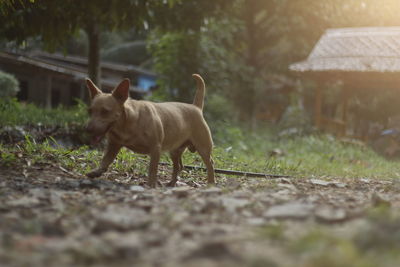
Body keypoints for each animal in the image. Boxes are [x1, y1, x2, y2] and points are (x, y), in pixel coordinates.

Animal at [85, 74, 216, 187]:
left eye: (105, 111)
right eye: (90, 111)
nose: (88, 129)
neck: (128, 123)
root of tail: (196, 107)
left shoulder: (155, 149)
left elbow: (152, 169)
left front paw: (151, 184)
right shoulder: (114, 145)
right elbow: (106, 160)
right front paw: (97, 171)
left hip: (203, 149)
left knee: (210, 165)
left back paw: (210, 183)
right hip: (174, 151)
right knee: (178, 166)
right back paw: (172, 183)